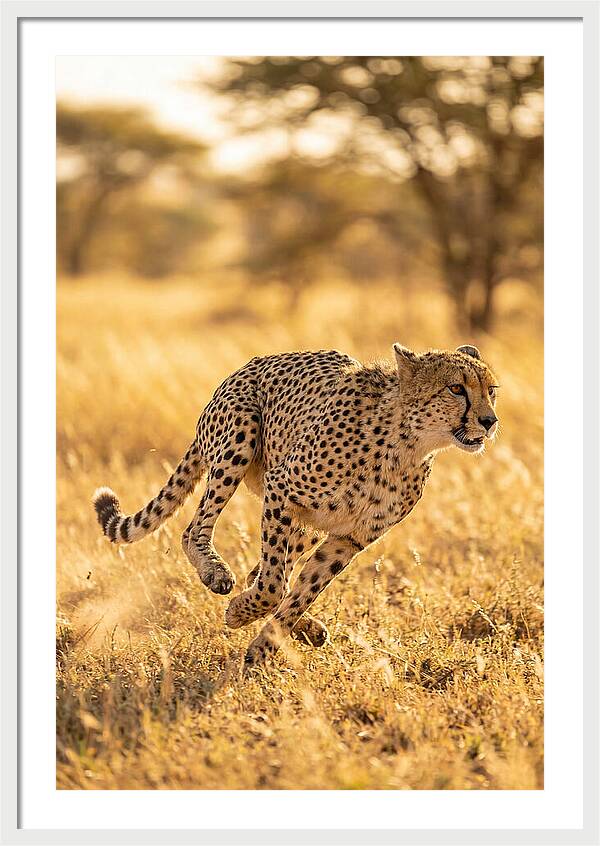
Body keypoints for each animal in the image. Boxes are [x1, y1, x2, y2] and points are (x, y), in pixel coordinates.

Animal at [93, 342, 499, 669]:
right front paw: (240, 614)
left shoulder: (349, 538)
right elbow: (274, 585)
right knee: (197, 531)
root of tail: (246, 366)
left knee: (262, 570)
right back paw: (216, 572)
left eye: (491, 390)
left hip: (309, 524)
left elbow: (302, 590)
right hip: (240, 436)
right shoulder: (281, 490)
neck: (406, 444)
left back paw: (307, 629)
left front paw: (264, 646)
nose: (489, 421)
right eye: (456, 388)